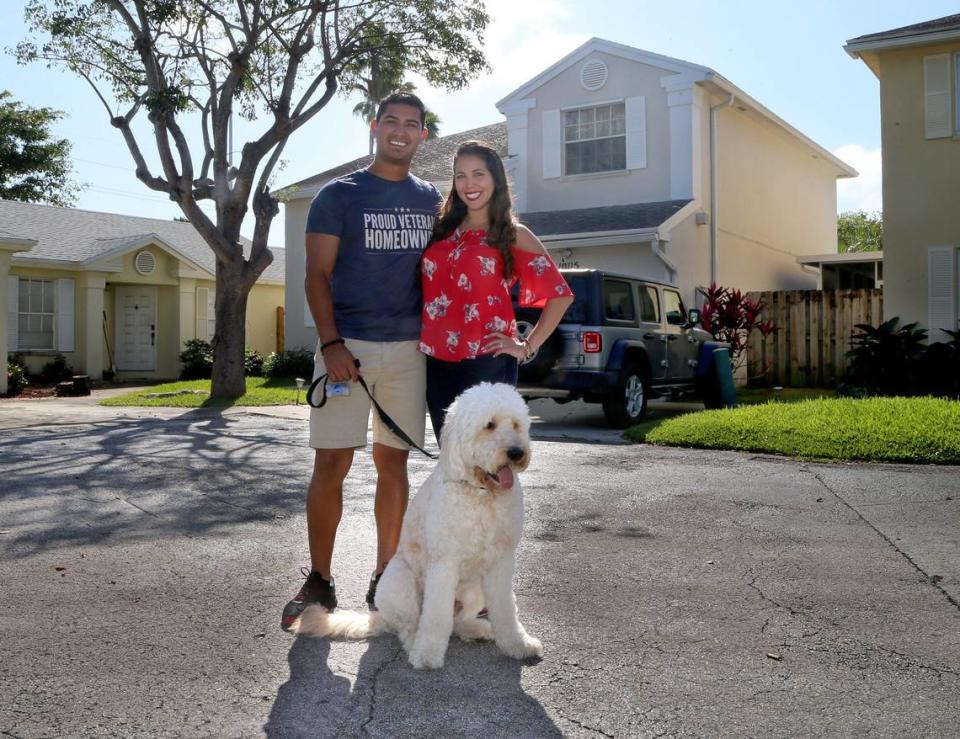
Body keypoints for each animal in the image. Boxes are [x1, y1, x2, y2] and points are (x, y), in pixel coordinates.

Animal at [294, 382, 540, 672]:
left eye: (516, 424)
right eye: (489, 425)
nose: (517, 453)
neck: (480, 495)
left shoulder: (501, 564)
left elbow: (506, 611)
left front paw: (518, 645)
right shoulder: (444, 563)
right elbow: (435, 618)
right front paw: (428, 654)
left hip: (476, 590)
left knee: (457, 622)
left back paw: (477, 629)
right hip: (399, 582)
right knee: (409, 625)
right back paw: (416, 644)